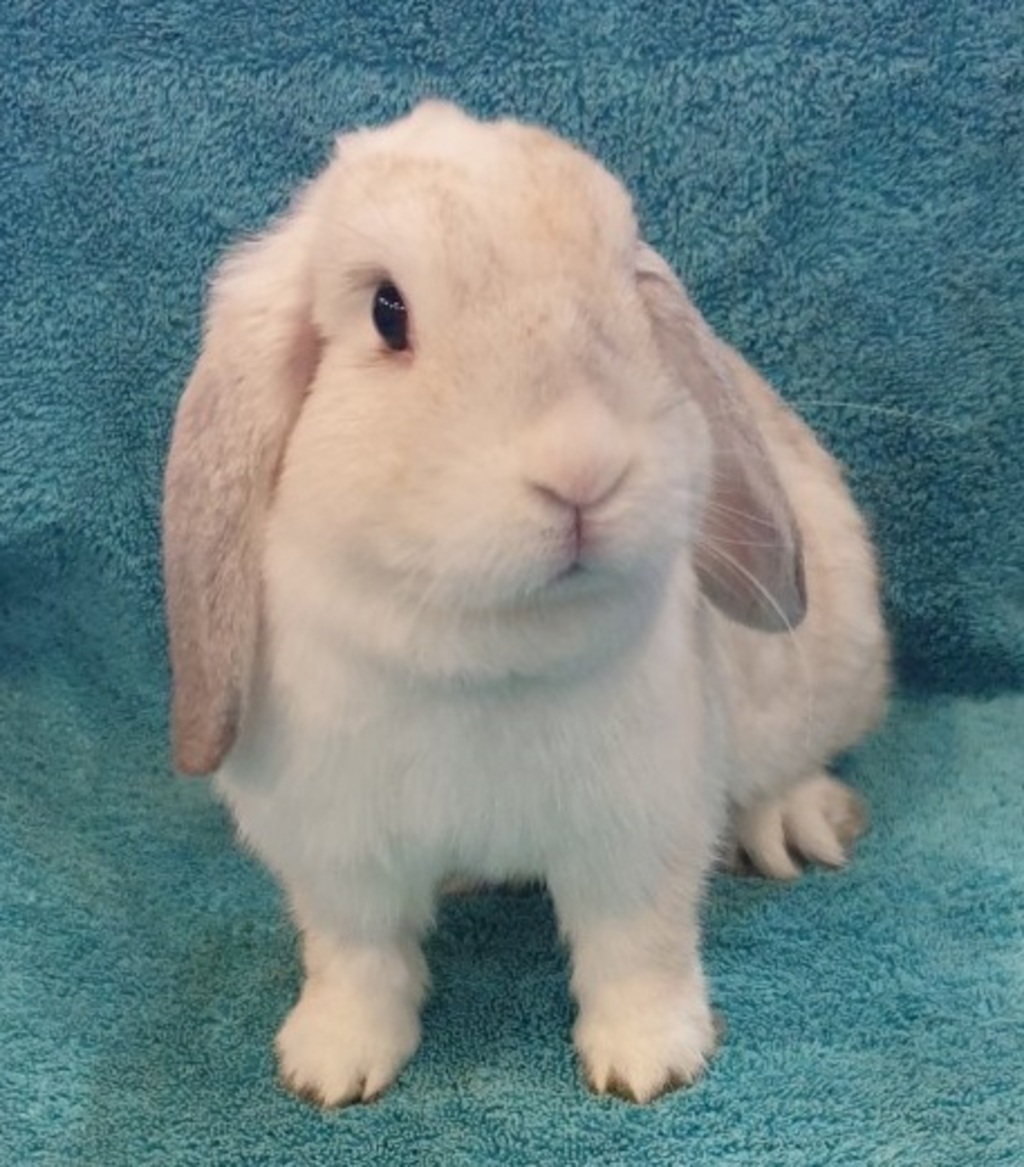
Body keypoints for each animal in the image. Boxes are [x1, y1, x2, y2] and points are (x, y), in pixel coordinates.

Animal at [162, 100, 888, 1107]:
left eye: (625, 291)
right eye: (387, 311)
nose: (584, 469)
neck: (483, 653)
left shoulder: (640, 830)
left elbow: (637, 949)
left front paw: (651, 1064)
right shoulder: (337, 853)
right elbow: (358, 958)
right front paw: (330, 1068)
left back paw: (796, 825)